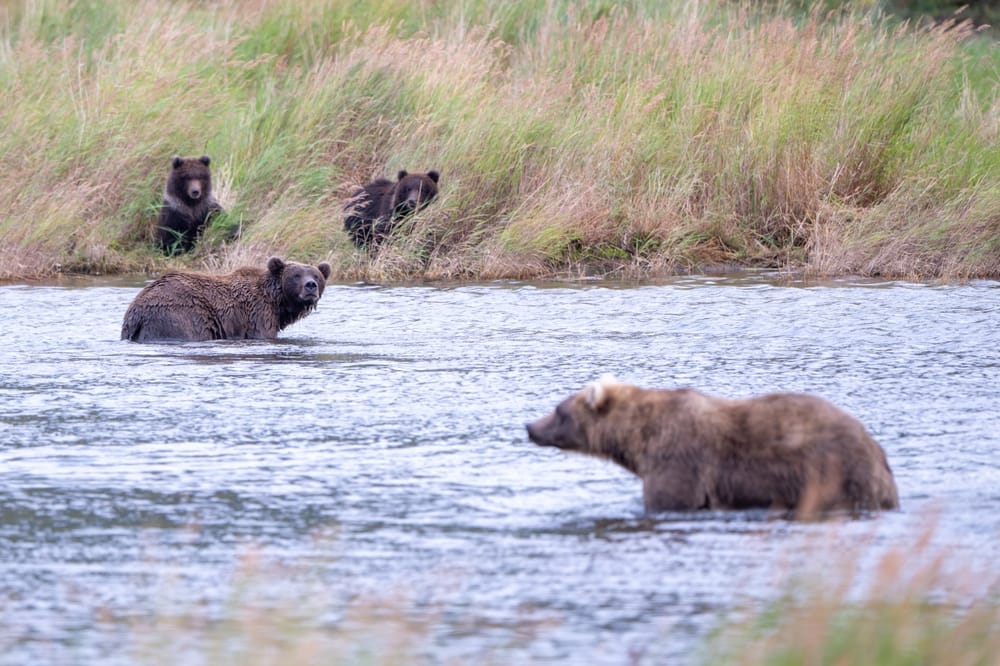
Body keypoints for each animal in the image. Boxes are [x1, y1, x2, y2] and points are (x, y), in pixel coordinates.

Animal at [121, 256, 332, 342]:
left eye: (316, 275)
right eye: (296, 275)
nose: (310, 285)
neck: (277, 302)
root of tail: (135, 312)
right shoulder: (258, 314)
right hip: (177, 316)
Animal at [526, 376, 899, 516]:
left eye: (558, 409)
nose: (530, 427)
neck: (637, 438)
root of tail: (876, 448)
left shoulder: (679, 460)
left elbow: (672, 498)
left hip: (835, 471)